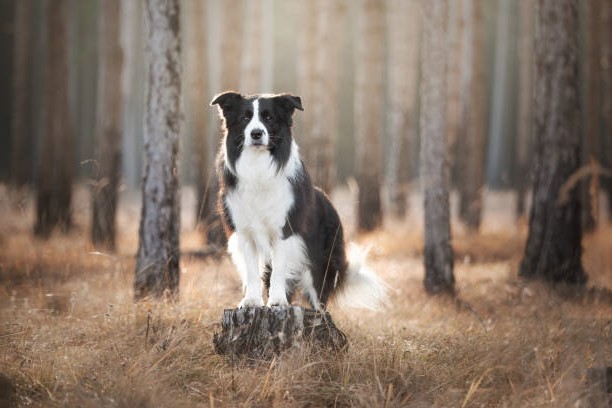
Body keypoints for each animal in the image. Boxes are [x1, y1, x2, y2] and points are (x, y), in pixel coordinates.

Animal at [208, 91, 384, 310]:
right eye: (245, 118)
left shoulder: (285, 230)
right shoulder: (245, 232)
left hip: (319, 263)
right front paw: (251, 301)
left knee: (319, 297)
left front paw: (277, 301)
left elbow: (279, 271)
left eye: (269, 117)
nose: (256, 133)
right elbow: (252, 272)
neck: (258, 166)